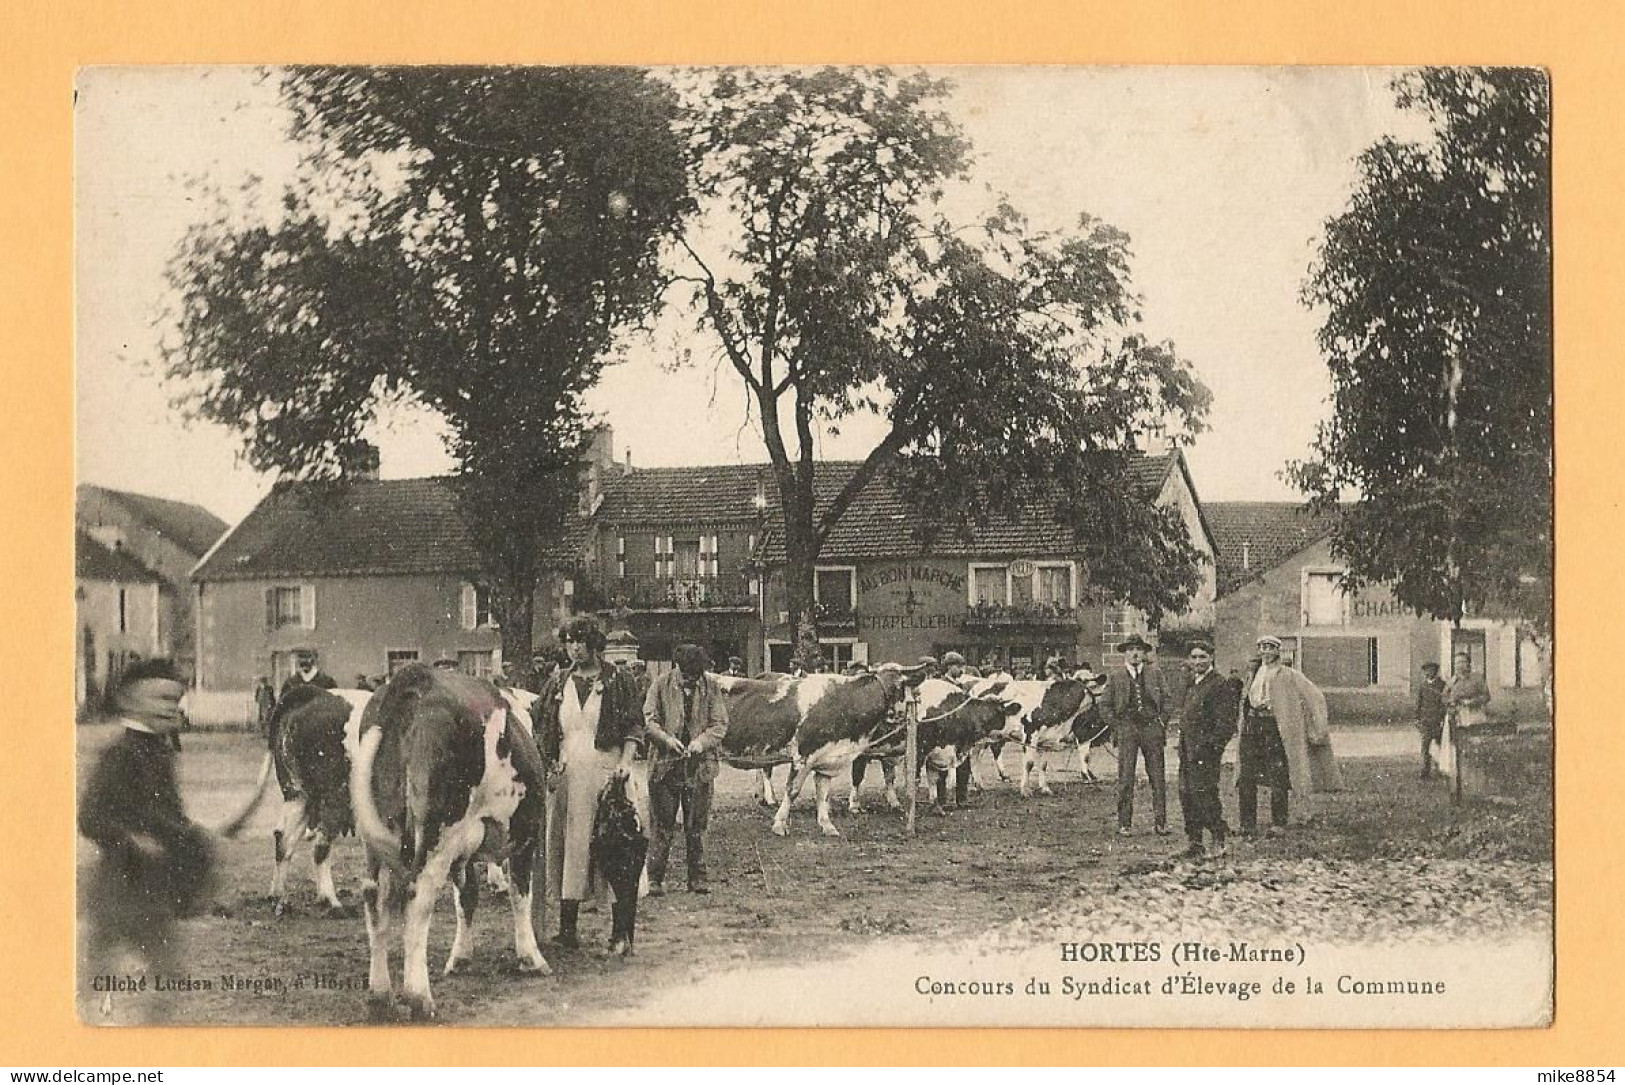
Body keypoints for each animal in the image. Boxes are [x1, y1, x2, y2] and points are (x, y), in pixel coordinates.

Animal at [264, 685, 375, 916]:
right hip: (334, 797)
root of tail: (315, 693)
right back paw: (331, 901)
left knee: (284, 840)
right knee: (320, 848)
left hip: (298, 795)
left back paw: (279, 898)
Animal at [346, 656, 549, 1020]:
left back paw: (380, 996)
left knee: (375, 898)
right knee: (417, 896)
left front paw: (460, 957)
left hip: (379, 839)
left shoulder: (464, 849)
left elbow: (466, 896)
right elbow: (520, 894)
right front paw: (531, 957)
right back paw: (419, 998)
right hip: (439, 831)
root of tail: (416, 676)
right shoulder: (525, 834)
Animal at [724, 669, 929, 838]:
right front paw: (780, 824)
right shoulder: (803, 756)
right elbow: (792, 790)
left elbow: (823, 793)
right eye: (901, 688)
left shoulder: (828, 759)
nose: (913, 712)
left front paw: (827, 825)